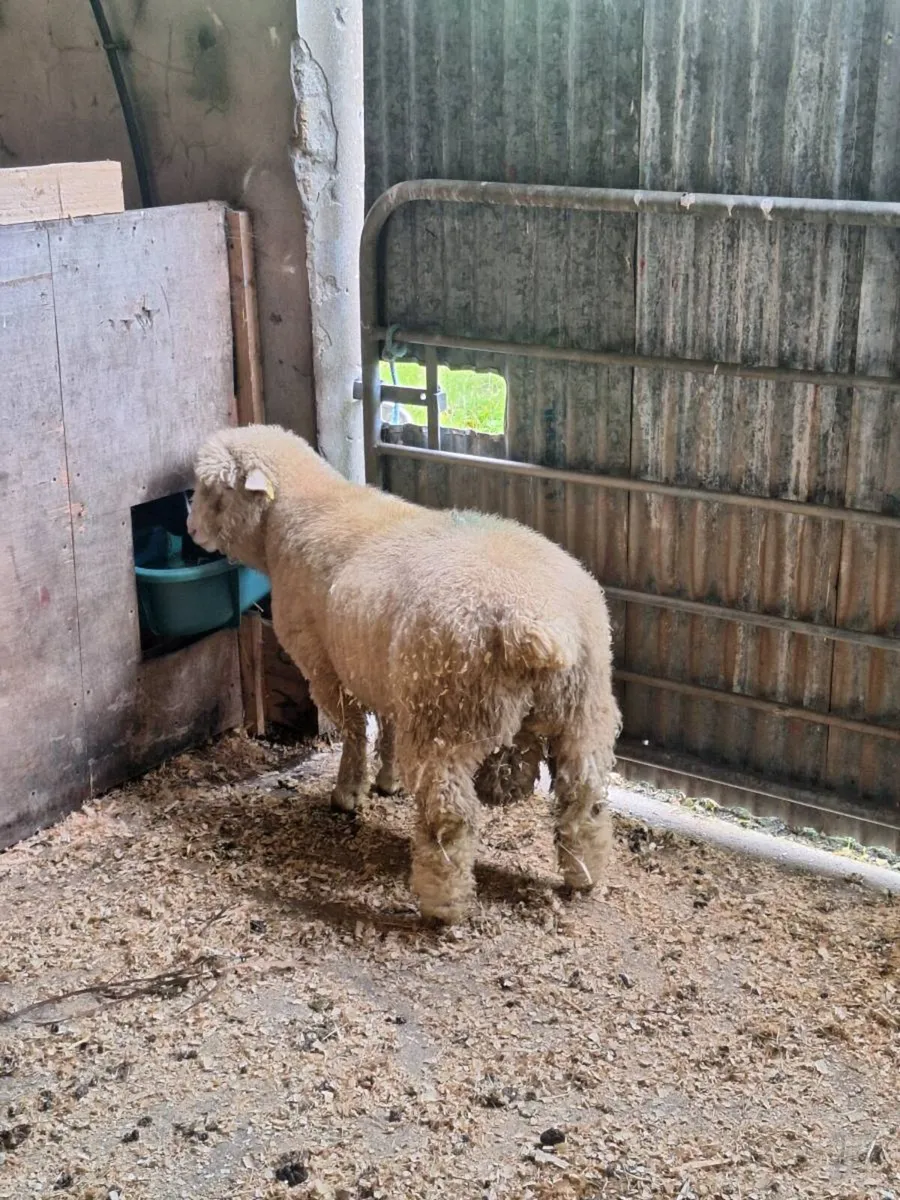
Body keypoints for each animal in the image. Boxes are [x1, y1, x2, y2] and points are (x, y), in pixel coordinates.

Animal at [187, 424, 621, 924]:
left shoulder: (324, 666)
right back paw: (583, 877)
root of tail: (537, 626)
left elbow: (354, 731)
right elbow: (387, 725)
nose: (191, 529)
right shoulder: (386, 673)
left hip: (446, 717)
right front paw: (387, 780)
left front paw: (348, 792)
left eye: (215, 492)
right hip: (582, 711)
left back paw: (441, 905)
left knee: (448, 817)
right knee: (584, 798)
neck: (301, 515)